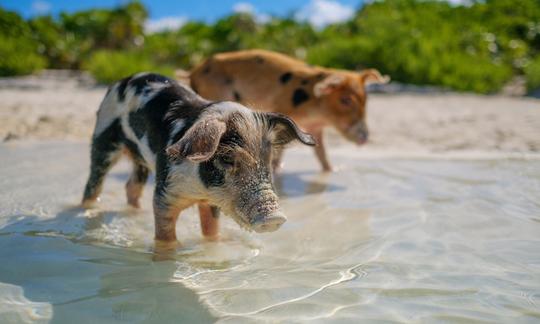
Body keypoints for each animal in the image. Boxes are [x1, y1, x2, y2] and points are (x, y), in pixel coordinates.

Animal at [190, 49, 388, 171]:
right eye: (345, 100)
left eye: (365, 100)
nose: (365, 138)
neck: (316, 112)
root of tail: (194, 72)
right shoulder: (283, 110)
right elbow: (280, 151)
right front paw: (276, 169)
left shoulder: (316, 128)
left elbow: (321, 153)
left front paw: (333, 170)